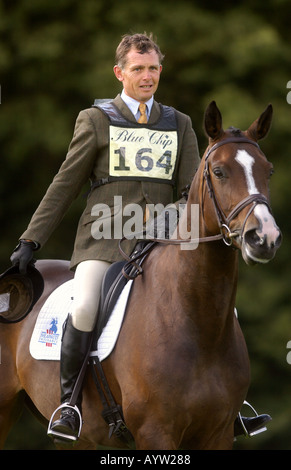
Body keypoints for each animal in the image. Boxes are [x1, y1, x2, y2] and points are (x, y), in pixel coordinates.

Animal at [0, 101, 282, 450]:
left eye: (268, 170)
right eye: (219, 172)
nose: (265, 238)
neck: (196, 319)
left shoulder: (217, 435)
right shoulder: (155, 432)